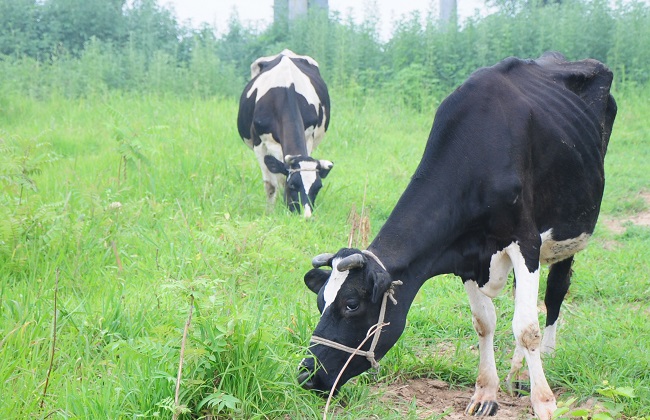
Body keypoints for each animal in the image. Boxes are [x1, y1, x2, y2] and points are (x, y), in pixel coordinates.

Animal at [235, 50, 332, 217]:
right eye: (293, 185)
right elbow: (271, 184)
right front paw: (270, 212)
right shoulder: (259, 143)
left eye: (318, 187)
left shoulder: (308, 137)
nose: (307, 216)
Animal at [296, 52, 616, 420]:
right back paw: (517, 371)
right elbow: (484, 322)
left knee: (555, 294)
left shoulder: (526, 241)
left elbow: (526, 328)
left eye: (351, 304)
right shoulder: (465, 253)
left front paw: (545, 402)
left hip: (570, 230)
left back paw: (538, 363)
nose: (305, 374)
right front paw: (486, 392)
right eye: (320, 302)